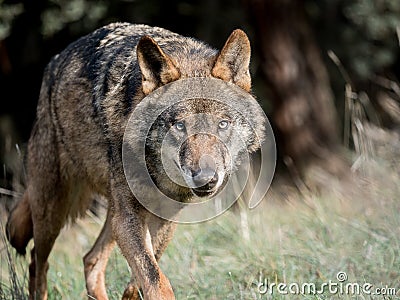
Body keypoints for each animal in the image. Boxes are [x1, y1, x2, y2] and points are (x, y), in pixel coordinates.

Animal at [4, 22, 266, 298]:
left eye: (223, 124)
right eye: (180, 126)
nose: (206, 179)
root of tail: (54, 62)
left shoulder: (164, 217)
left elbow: (142, 279)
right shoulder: (128, 217)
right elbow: (156, 281)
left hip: (109, 213)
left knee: (91, 260)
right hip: (53, 210)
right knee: (38, 262)